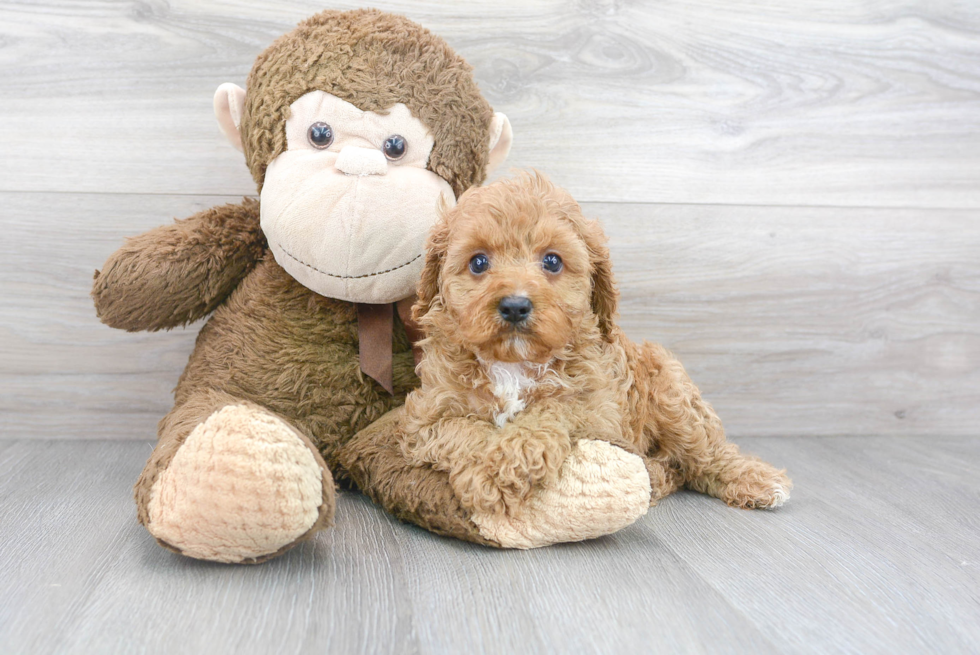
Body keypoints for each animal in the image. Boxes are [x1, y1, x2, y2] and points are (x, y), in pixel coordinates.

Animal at [398, 176, 788, 532]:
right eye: (478, 263)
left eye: (552, 261)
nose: (514, 306)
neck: (515, 364)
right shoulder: (426, 415)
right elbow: (462, 430)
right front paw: (486, 469)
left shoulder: (598, 410)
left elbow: (549, 410)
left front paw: (501, 466)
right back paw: (656, 475)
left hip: (672, 392)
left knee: (707, 456)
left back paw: (756, 480)